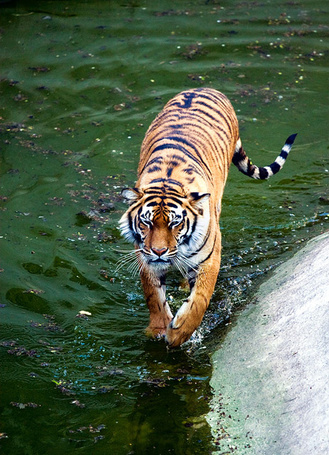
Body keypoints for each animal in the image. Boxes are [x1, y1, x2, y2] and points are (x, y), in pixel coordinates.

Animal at [119, 87, 296, 348]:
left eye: (175, 223)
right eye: (147, 222)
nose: (159, 251)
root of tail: (204, 88)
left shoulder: (210, 258)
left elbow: (201, 298)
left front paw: (179, 333)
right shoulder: (145, 257)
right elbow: (154, 296)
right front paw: (159, 328)